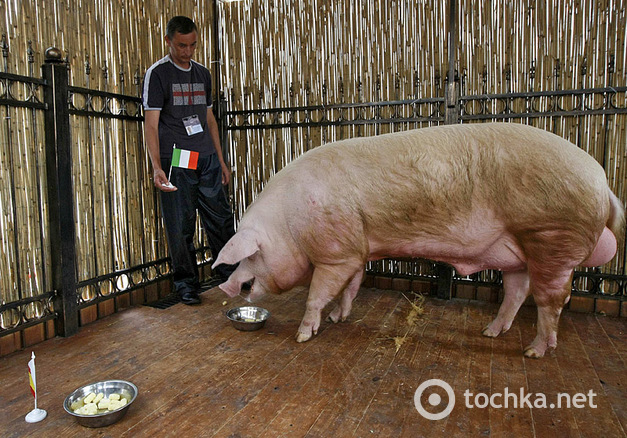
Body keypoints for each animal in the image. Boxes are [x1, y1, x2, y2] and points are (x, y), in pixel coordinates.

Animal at [213, 121, 624, 358]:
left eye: (250, 255)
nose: (226, 288)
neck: (289, 223)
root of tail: (601, 180)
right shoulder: (357, 248)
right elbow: (351, 286)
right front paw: (338, 318)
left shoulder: (336, 253)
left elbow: (317, 293)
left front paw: (303, 335)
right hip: (518, 252)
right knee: (517, 292)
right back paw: (491, 332)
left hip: (551, 236)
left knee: (553, 300)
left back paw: (535, 351)